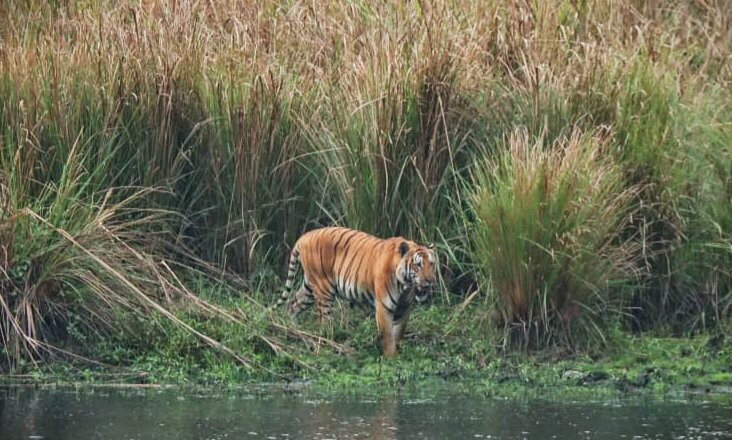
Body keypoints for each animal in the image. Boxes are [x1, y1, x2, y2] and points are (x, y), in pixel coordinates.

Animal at [277, 226, 436, 357]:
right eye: (418, 265)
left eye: (432, 264)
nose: (430, 280)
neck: (405, 287)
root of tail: (305, 236)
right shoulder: (384, 307)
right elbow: (387, 336)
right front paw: (391, 359)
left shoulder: (404, 309)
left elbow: (398, 334)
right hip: (324, 289)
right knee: (325, 321)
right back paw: (328, 343)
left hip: (309, 288)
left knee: (292, 305)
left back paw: (295, 331)